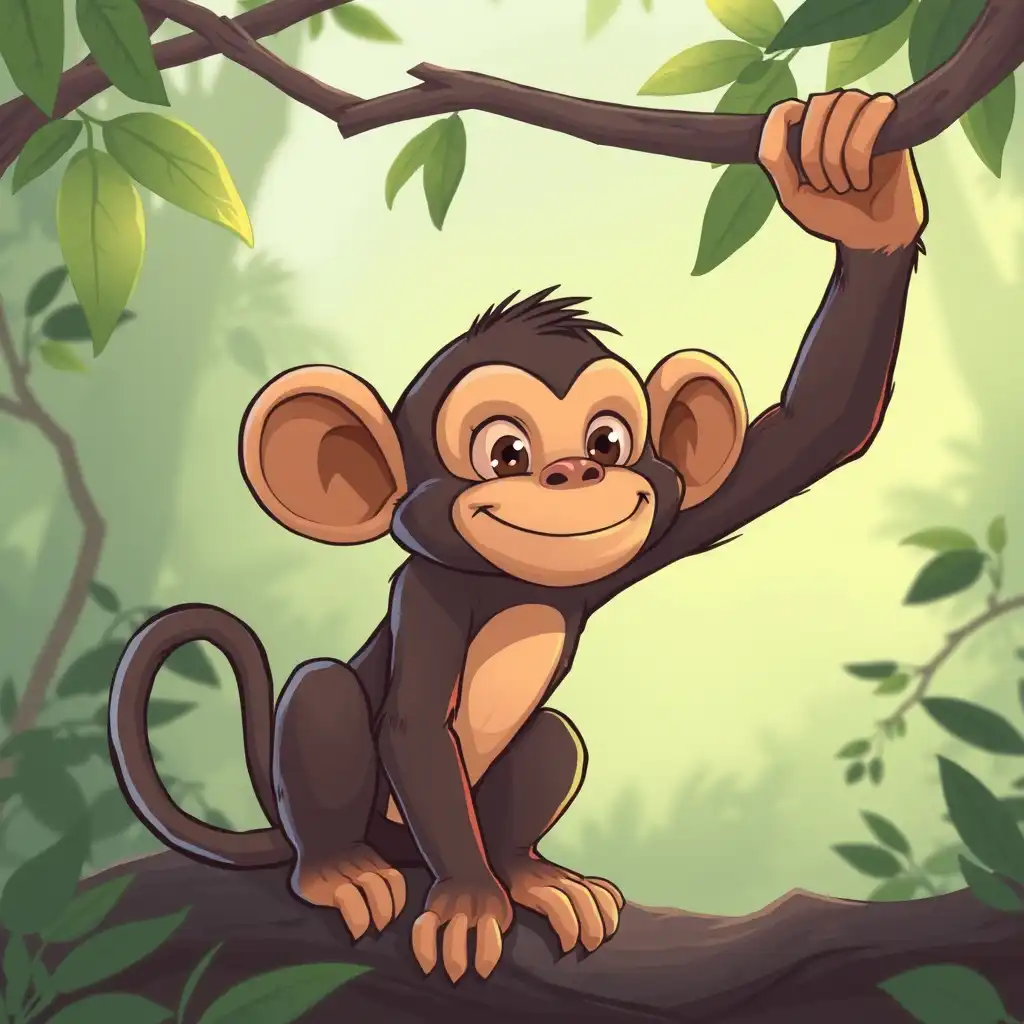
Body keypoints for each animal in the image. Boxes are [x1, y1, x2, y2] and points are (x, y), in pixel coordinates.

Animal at [108, 90, 927, 985]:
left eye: (609, 439)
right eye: (506, 452)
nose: (574, 471)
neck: (511, 584)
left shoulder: (648, 537)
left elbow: (815, 429)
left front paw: (857, 192)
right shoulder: (426, 590)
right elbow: (414, 726)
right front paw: (469, 901)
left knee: (555, 735)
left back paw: (529, 874)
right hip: (376, 817)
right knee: (324, 689)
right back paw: (342, 868)